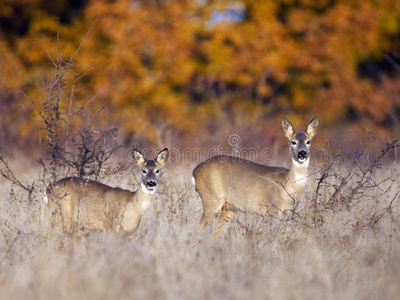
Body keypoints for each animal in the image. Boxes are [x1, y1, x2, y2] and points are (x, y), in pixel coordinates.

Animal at [192, 117, 320, 232]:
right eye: (293, 142)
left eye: (308, 141)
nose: (302, 153)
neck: (289, 184)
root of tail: (194, 172)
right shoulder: (271, 210)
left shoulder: (287, 212)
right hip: (211, 198)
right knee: (198, 228)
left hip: (229, 208)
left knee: (217, 232)